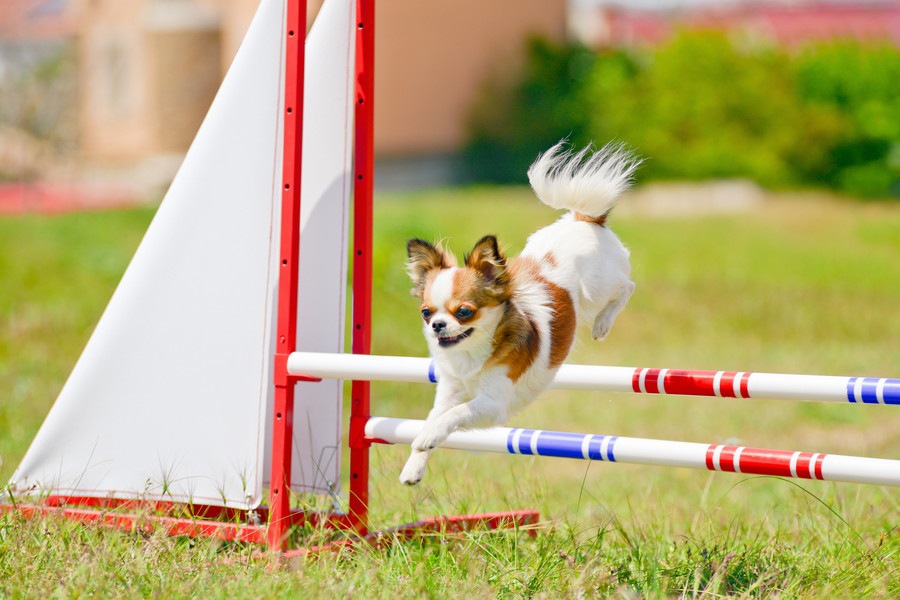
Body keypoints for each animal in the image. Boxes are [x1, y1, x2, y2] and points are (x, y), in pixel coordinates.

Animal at [400, 142, 640, 488]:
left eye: (464, 312)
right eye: (426, 312)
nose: (437, 325)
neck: (472, 355)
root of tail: (585, 220)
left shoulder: (493, 402)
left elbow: (453, 416)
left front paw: (426, 438)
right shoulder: (449, 391)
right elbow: (437, 416)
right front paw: (414, 465)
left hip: (599, 287)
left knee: (626, 287)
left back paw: (603, 324)